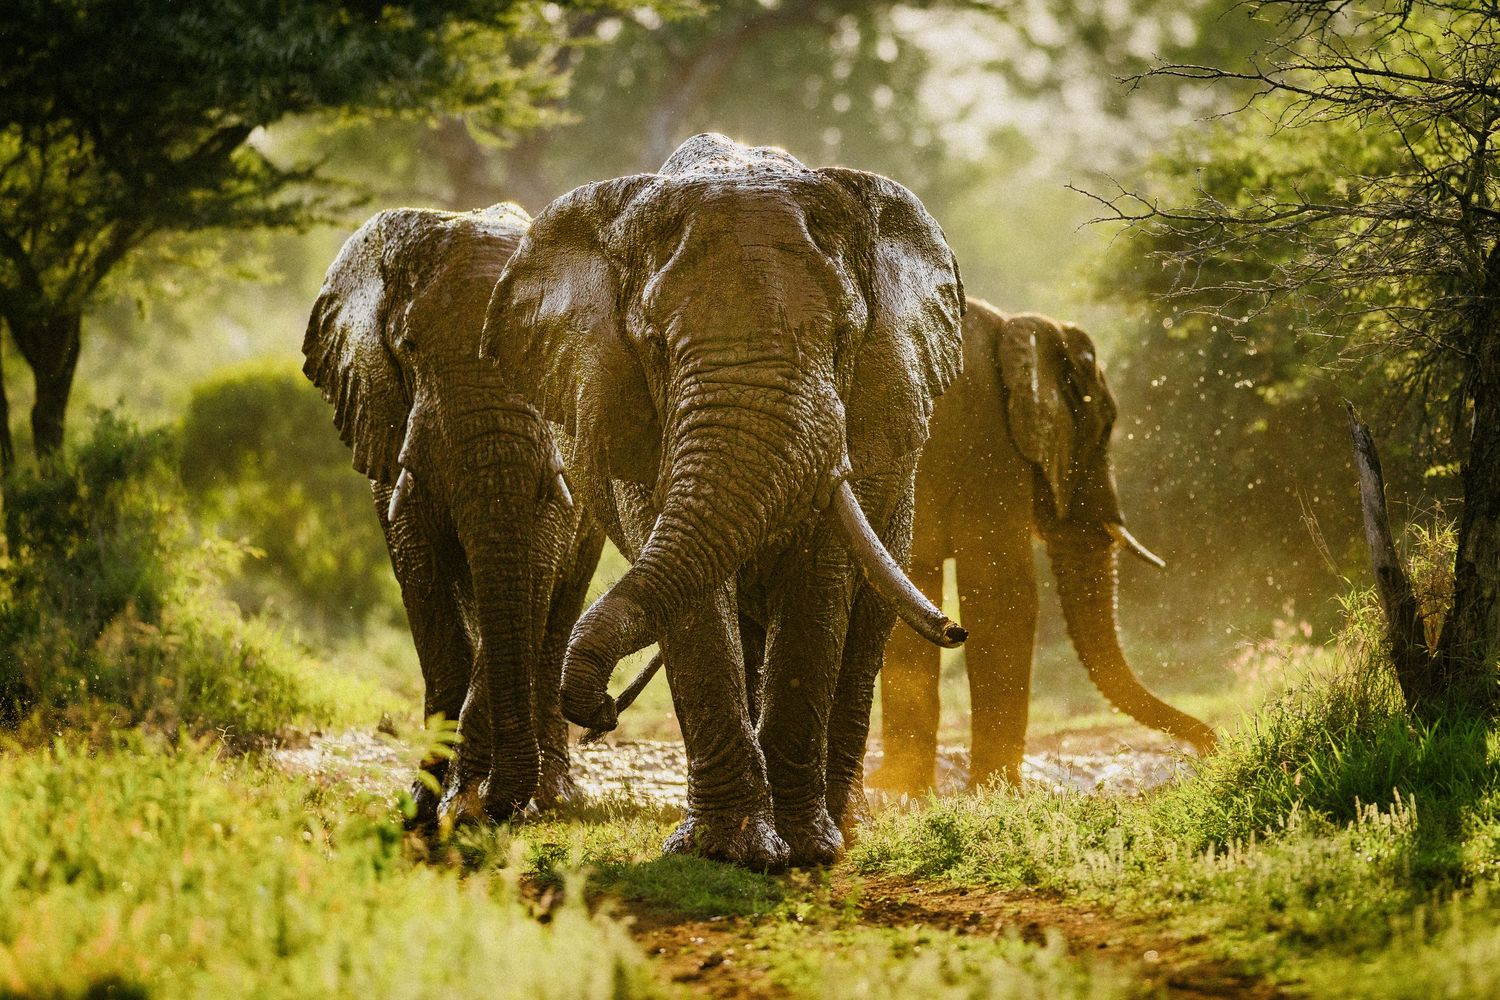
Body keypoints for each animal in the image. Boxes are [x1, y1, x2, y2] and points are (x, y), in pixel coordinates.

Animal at [303, 202, 602, 829]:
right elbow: (422, 576)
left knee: (555, 613)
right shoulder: (387, 422)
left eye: (539, 356)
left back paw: (554, 797)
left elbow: (530, 574)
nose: (491, 809)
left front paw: (463, 806)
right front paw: (424, 807)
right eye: (410, 345)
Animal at [481, 133, 966, 868]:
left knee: (866, 623)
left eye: (842, 337)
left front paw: (806, 851)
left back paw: (845, 828)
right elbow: (695, 604)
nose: (599, 713)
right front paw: (728, 852)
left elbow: (819, 584)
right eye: (655, 345)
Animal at [870, 298, 1217, 795]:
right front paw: (996, 789)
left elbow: (913, 583)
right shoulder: (988, 438)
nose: (1212, 747)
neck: (1018, 327)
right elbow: (998, 591)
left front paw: (905, 789)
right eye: (1105, 426)